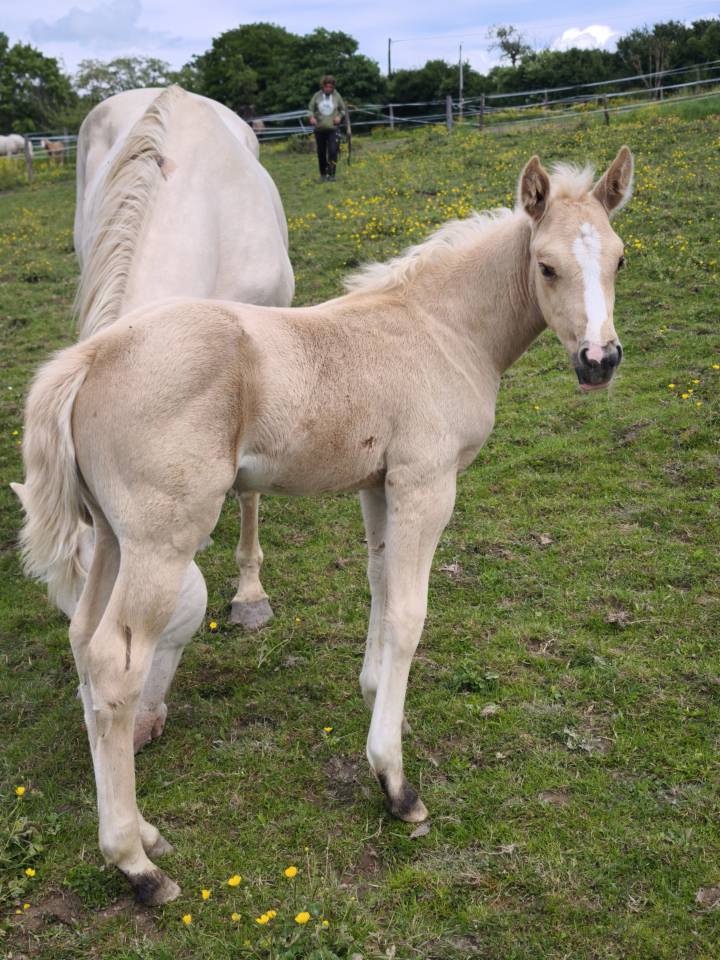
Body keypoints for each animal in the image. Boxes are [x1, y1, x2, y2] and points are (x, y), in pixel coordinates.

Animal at [17, 147, 633, 904]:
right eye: (546, 266)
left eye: (620, 259)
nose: (600, 362)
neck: (440, 328)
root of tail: (88, 358)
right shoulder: (427, 483)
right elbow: (409, 614)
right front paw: (394, 781)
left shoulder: (379, 484)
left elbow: (378, 586)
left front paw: (377, 696)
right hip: (161, 542)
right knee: (112, 664)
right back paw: (136, 862)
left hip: (109, 535)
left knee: (81, 639)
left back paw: (147, 834)